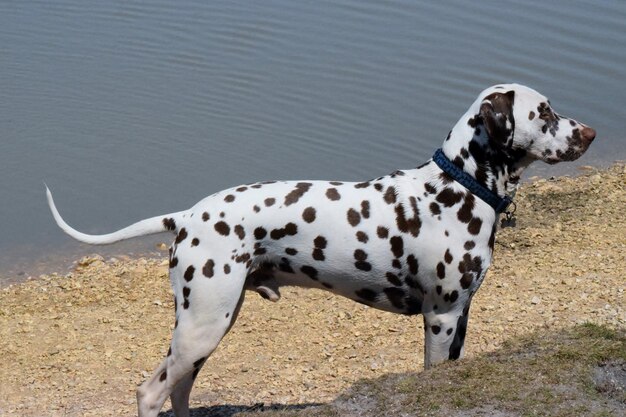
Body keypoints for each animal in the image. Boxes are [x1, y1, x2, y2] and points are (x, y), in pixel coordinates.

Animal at [46, 83, 592, 414]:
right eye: (544, 112)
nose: (589, 133)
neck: (456, 188)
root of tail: (186, 216)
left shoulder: (461, 316)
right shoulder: (440, 317)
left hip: (204, 332)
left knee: (176, 391)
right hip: (202, 329)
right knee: (150, 392)